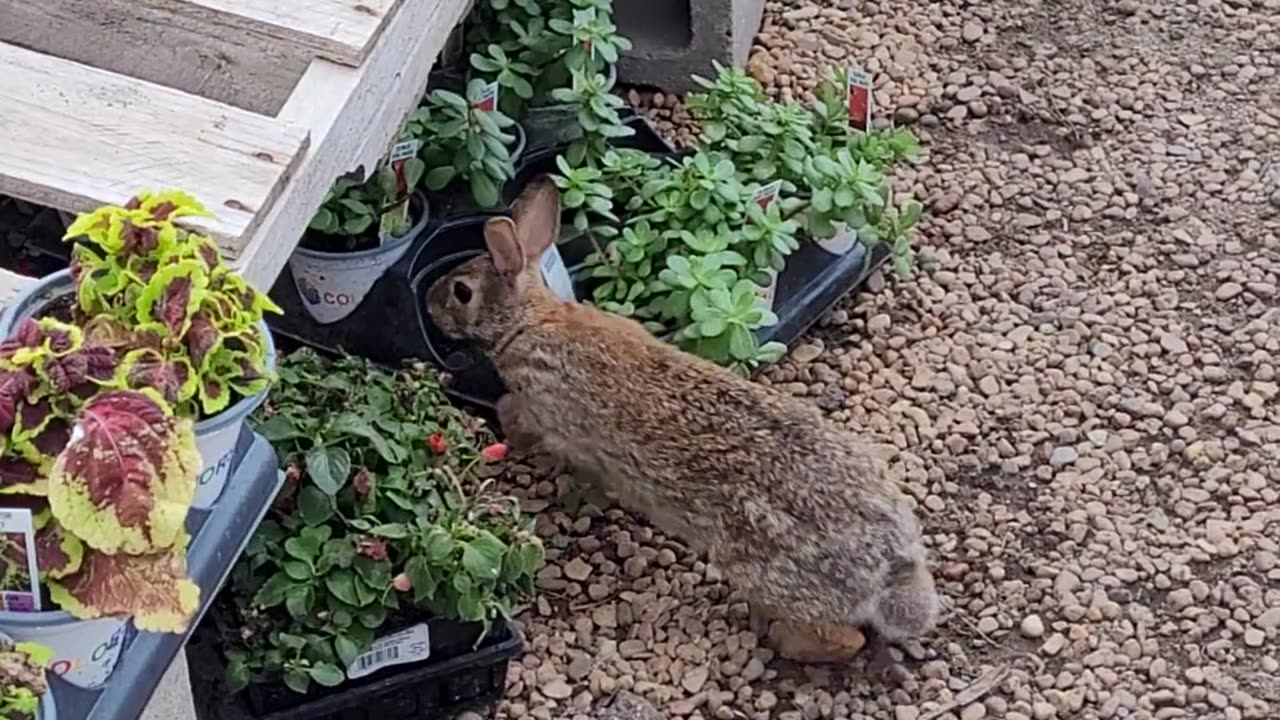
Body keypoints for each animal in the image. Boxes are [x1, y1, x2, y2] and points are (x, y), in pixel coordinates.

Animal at [430, 176, 942, 666]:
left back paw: (781, 640)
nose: (432, 305)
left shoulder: (540, 403)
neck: (530, 319)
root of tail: (888, 568)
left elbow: (518, 418)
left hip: (762, 571)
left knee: (844, 638)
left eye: (462, 291)